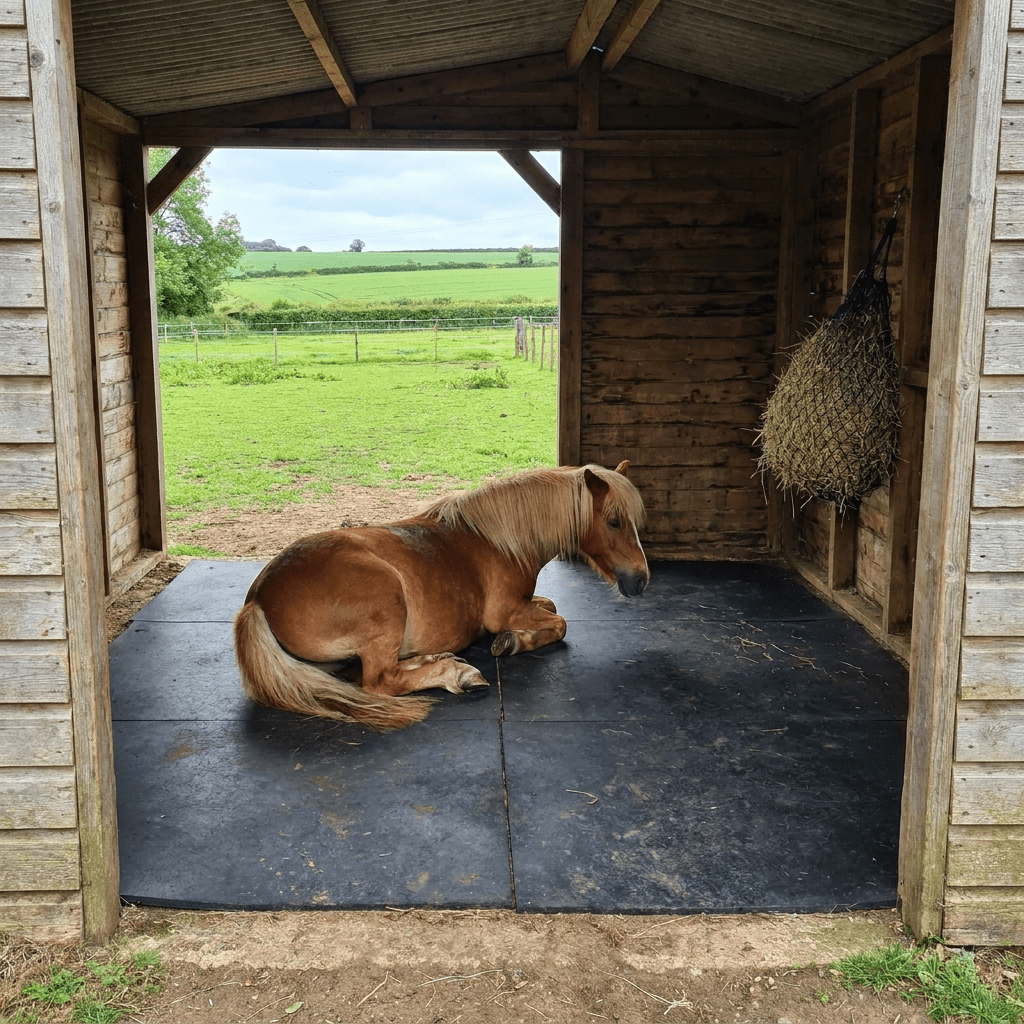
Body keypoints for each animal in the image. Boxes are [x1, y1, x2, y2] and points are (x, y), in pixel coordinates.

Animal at [232, 461, 649, 731]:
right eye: (614, 521)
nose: (642, 580)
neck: (500, 540)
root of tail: (258, 597)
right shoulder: (506, 611)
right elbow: (560, 622)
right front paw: (511, 642)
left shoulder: (526, 603)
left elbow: (550, 604)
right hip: (387, 601)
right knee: (380, 681)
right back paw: (458, 673)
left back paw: (436, 658)